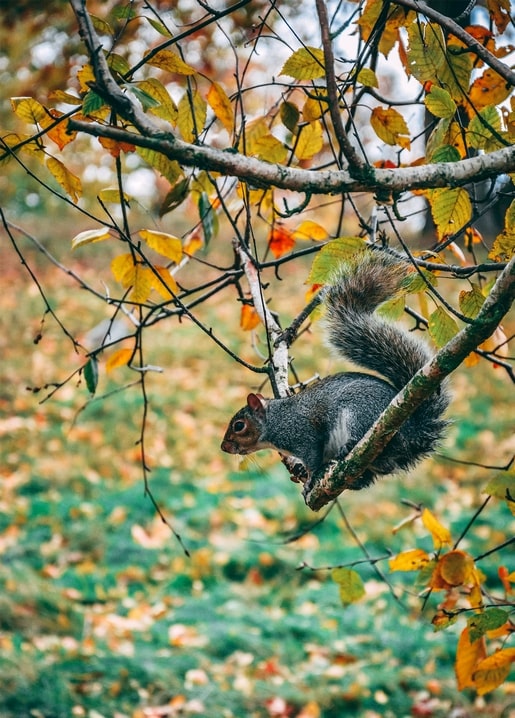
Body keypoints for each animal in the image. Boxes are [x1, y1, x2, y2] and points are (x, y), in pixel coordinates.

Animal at [221, 249, 450, 490]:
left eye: (239, 426)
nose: (224, 447)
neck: (277, 419)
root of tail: (412, 434)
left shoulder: (304, 435)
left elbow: (312, 456)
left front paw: (310, 478)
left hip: (361, 413)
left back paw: (347, 448)